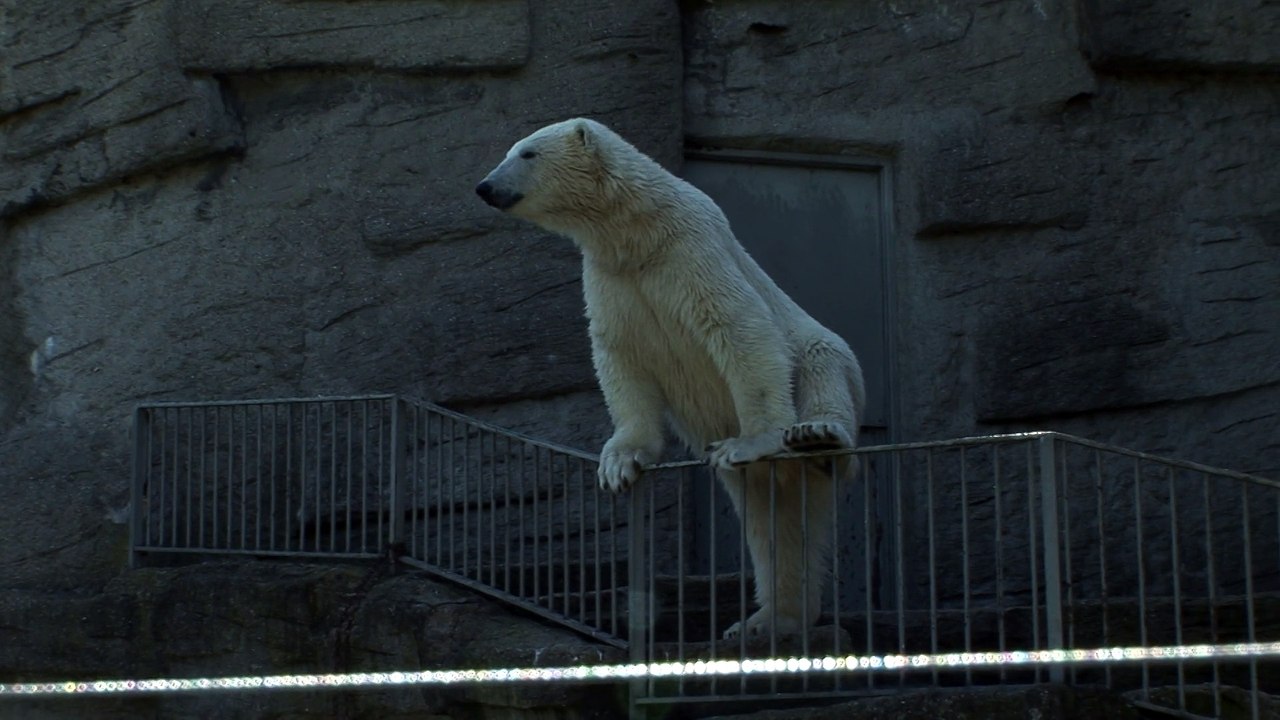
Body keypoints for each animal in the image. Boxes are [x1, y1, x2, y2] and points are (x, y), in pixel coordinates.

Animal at [476, 118, 866, 640]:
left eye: (528, 153)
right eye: (510, 151)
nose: (485, 187)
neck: (635, 231)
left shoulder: (690, 249)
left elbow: (742, 328)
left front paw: (749, 441)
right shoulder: (610, 277)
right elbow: (620, 358)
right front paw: (619, 463)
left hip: (827, 356)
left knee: (822, 372)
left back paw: (816, 436)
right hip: (759, 488)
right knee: (771, 523)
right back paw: (766, 620)